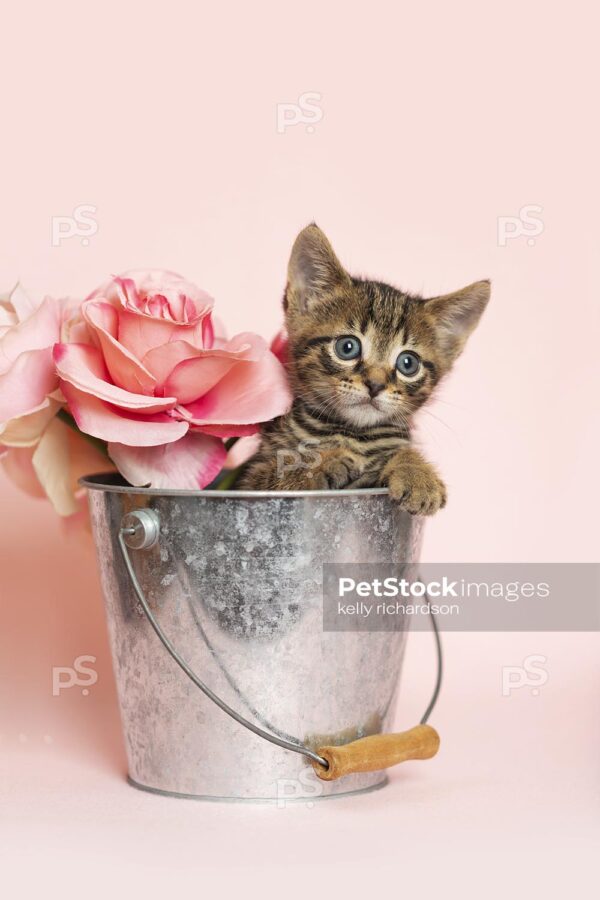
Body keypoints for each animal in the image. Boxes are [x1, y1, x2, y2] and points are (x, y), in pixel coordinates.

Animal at [237, 224, 490, 512]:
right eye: (347, 347)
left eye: (408, 363)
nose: (375, 384)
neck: (352, 434)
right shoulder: (251, 483)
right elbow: (278, 471)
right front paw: (321, 461)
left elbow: (399, 450)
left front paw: (417, 473)